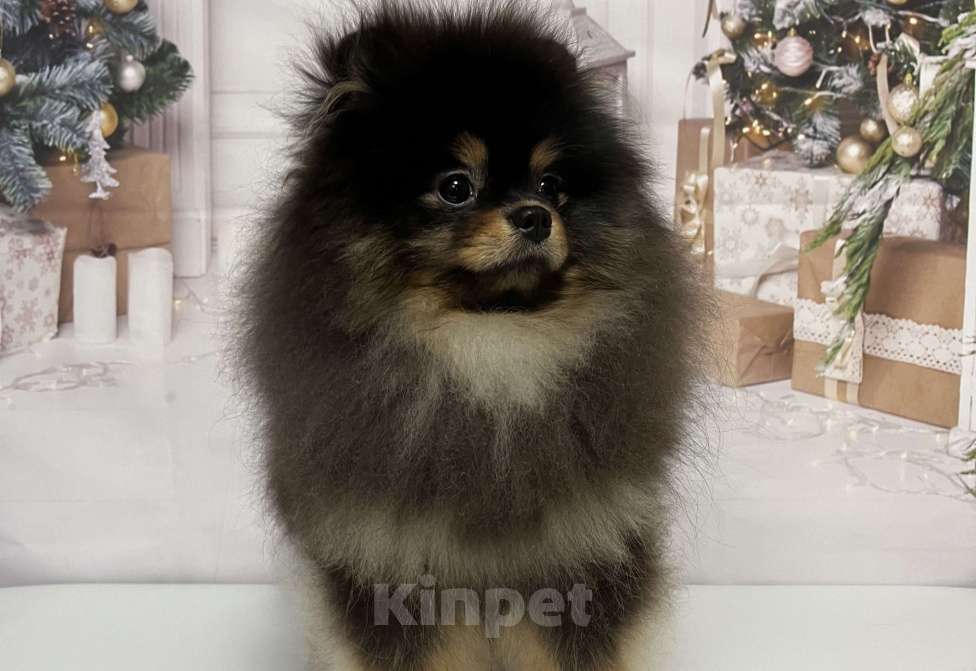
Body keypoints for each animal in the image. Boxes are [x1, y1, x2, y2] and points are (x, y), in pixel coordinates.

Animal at [236, 2, 705, 668]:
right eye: (456, 186)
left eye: (551, 185)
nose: (535, 217)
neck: (493, 350)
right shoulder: (386, 561)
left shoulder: (586, 550)